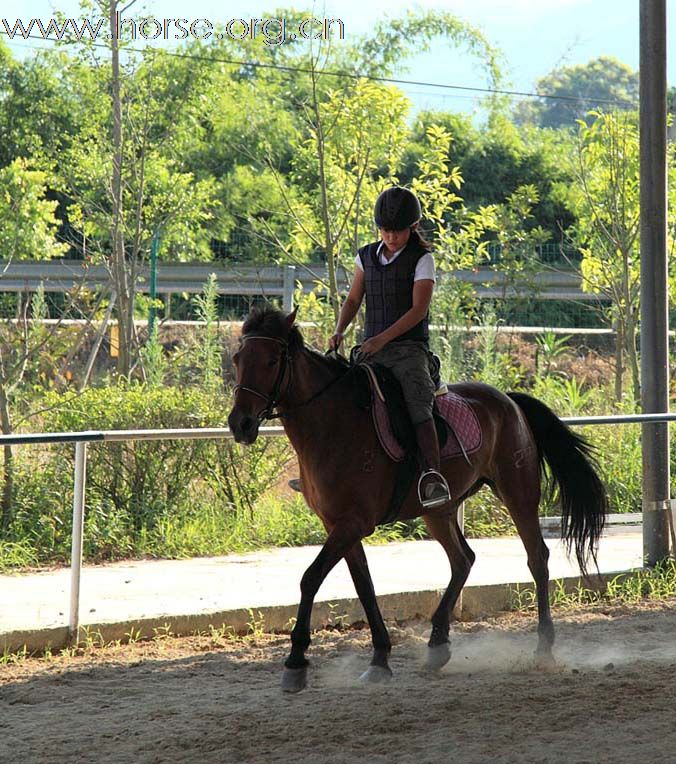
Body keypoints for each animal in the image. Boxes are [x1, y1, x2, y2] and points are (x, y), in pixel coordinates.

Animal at [227, 304, 608, 692]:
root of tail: (508, 400)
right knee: (463, 559)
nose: (239, 424)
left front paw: (296, 662)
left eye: (272, 361)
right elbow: (364, 586)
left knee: (537, 558)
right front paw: (380, 658)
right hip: (439, 511)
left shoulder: (353, 523)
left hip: (518, 494)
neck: (333, 423)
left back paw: (543, 647)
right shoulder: (340, 525)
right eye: (238, 359)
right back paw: (438, 643)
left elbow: (311, 577)